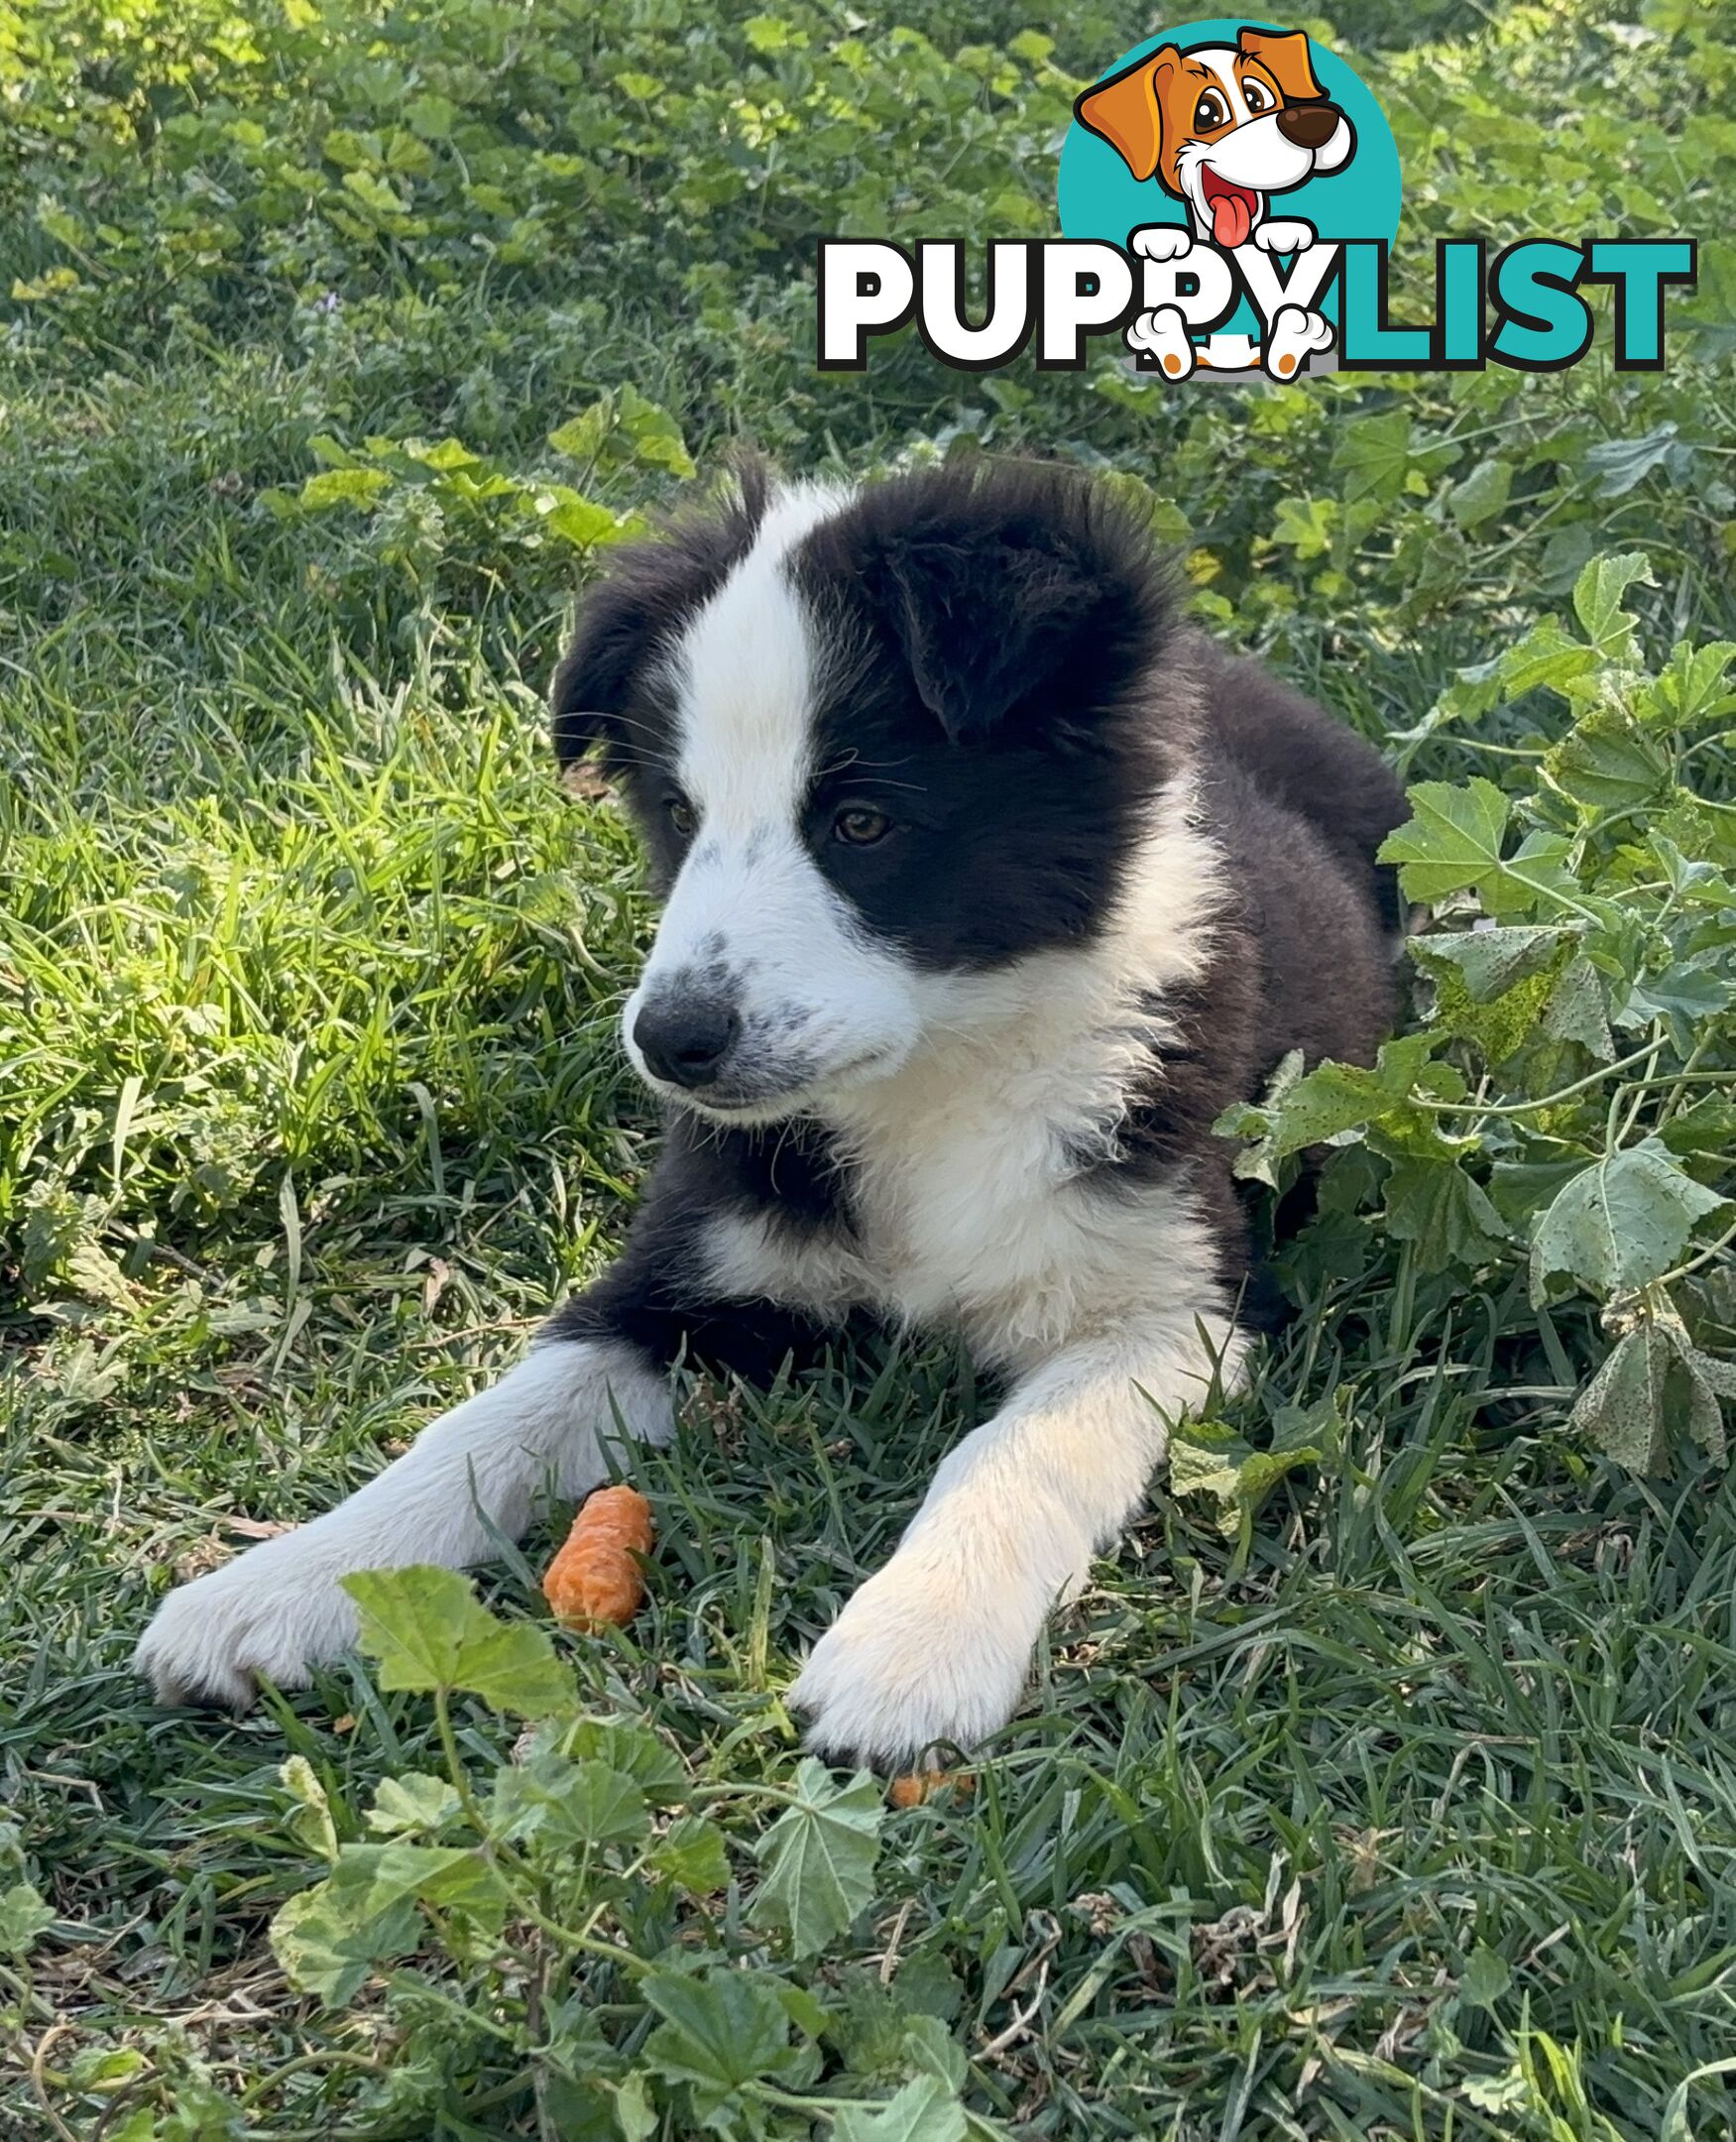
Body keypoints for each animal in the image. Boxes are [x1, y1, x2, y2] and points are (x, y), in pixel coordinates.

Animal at [139, 460, 1412, 1764]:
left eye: (861, 822)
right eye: (676, 815)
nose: (671, 1043)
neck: (933, 1075)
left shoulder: (1172, 1306)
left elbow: (1019, 1448)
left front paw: (912, 1650)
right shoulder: (680, 1275)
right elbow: (483, 1428)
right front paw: (292, 1581)